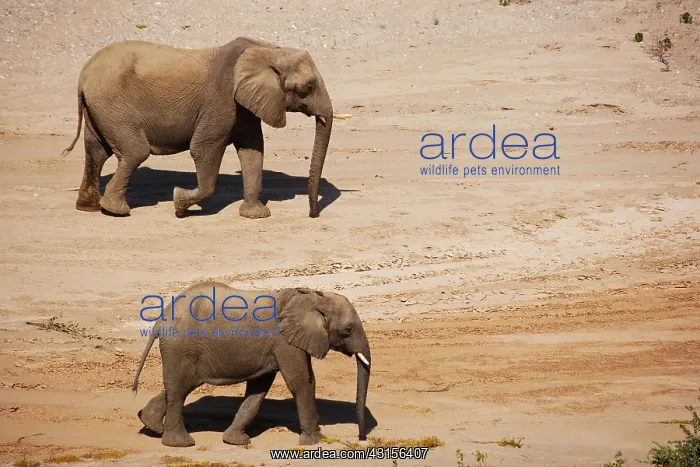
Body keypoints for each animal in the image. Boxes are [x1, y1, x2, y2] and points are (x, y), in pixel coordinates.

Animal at [61, 36, 334, 219]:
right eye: (308, 87)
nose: (312, 215)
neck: (269, 51)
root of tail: (83, 76)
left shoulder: (245, 106)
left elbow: (252, 151)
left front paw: (255, 215)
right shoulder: (222, 101)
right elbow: (203, 149)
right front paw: (179, 204)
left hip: (99, 109)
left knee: (96, 151)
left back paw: (89, 207)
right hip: (113, 106)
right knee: (134, 151)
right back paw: (116, 211)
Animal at [131, 281, 372, 448]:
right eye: (348, 329)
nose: (362, 439)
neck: (312, 297)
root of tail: (161, 319)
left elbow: (258, 389)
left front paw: (236, 441)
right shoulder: (284, 342)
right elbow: (302, 382)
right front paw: (317, 441)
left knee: (177, 388)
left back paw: (151, 425)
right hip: (181, 348)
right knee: (179, 390)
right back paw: (181, 443)